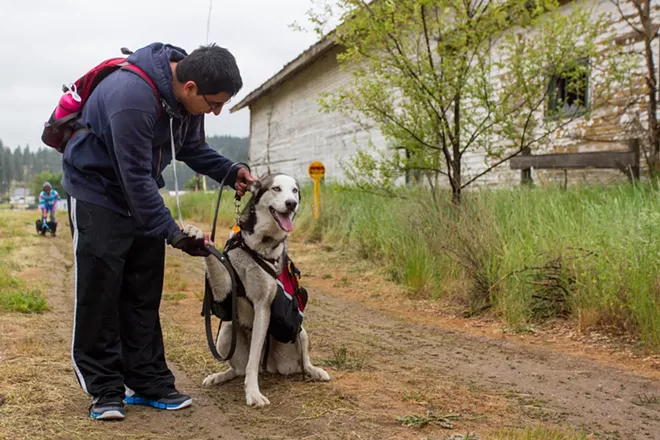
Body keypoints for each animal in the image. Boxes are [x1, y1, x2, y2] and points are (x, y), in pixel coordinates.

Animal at [183, 174, 330, 408]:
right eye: (276, 188)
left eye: (295, 191)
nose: (291, 204)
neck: (257, 244)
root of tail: (268, 366)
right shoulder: (224, 290)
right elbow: (213, 258)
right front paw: (196, 234)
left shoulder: (262, 307)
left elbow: (252, 361)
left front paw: (252, 393)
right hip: (226, 332)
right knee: (236, 369)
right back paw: (218, 376)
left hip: (301, 333)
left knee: (302, 363)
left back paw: (315, 371)